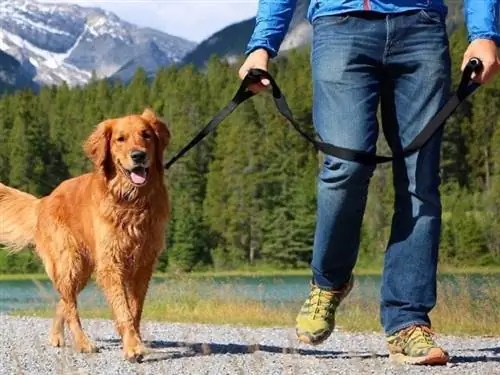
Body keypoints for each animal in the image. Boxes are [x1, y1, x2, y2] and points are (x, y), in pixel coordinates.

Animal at [0, 108, 170, 362]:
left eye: (146, 135)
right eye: (120, 139)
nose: (139, 155)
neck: (130, 201)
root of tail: (44, 200)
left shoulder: (144, 264)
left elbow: (135, 308)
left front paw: (134, 339)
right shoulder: (111, 263)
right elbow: (123, 309)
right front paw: (132, 346)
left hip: (82, 269)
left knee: (64, 300)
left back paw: (57, 336)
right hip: (69, 262)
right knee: (70, 305)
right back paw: (82, 342)